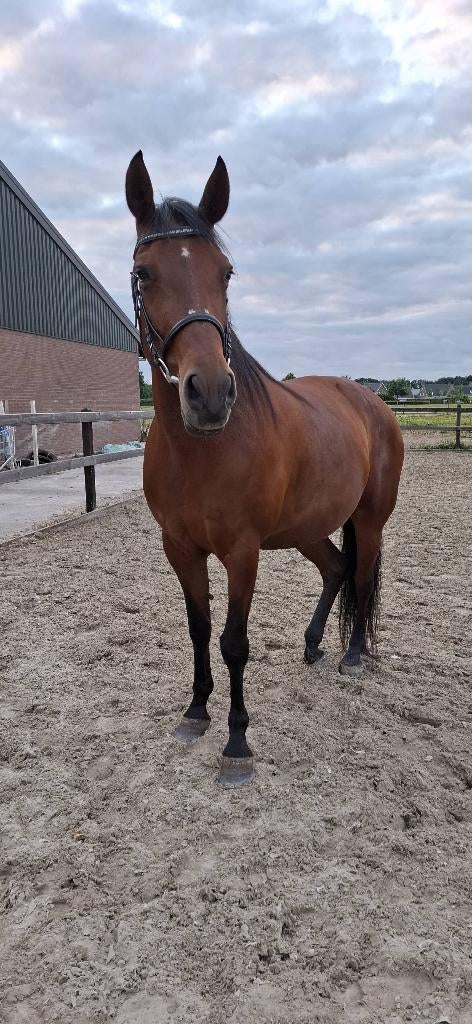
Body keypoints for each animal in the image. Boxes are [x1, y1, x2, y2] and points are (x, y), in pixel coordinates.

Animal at [126, 151, 404, 787]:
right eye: (144, 273)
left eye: (225, 273)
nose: (209, 394)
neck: (202, 453)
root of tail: (373, 402)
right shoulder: (180, 548)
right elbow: (199, 627)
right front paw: (196, 711)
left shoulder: (242, 551)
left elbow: (234, 642)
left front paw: (236, 743)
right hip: (307, 528)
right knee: (336, 568)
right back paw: (315, 644)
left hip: (369, 519)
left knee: (361, 574)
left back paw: (353, 656)